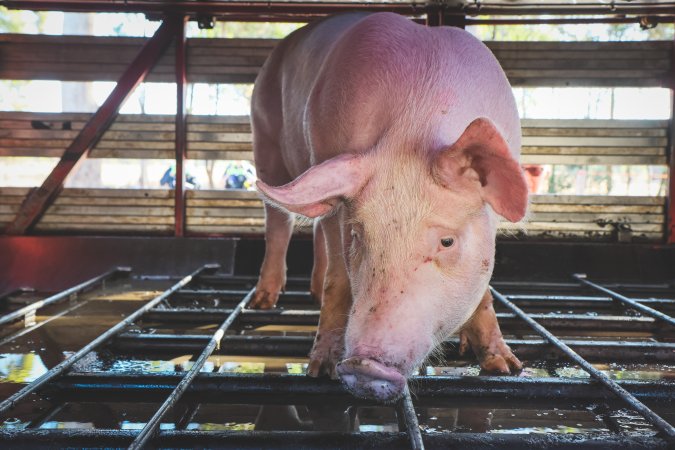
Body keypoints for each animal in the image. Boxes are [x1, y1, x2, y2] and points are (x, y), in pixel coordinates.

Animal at [248, 12, 528, 402]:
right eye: (357, 235)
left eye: (447, 242)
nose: (364, 365)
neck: (417, 121)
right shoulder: (331, 166)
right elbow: (339, 278)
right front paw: (321, 370)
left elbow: (485, 288)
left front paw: (505, 367)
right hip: (265, 136)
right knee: (280, 222)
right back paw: (262, 303)